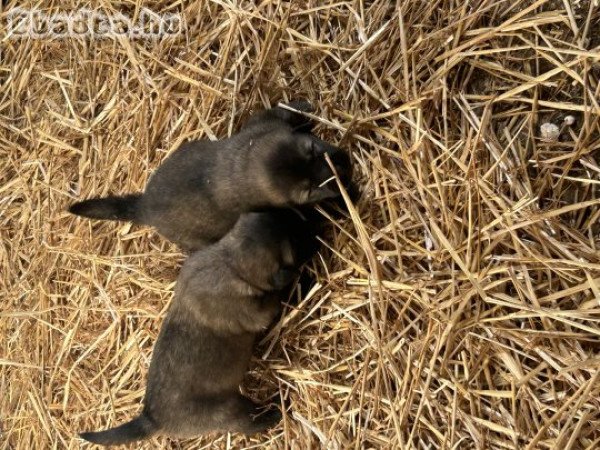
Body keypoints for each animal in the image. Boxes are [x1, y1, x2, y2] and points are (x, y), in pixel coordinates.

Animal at [69, 102, 352, 251]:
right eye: (309, 190)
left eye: (313, 149)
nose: (345, 166)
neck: (243, 165)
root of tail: (143, 206)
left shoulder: (264, 124)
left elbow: (280, 113)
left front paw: (303, 108)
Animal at [79, 209, 318, 444]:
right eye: (296, 240)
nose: (316, 228)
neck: (228, 261)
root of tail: (151, 418)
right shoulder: (257, 311)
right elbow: (277, 297)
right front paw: (304, 281)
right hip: (228, 409)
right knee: (251, 422)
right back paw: (277, 410)